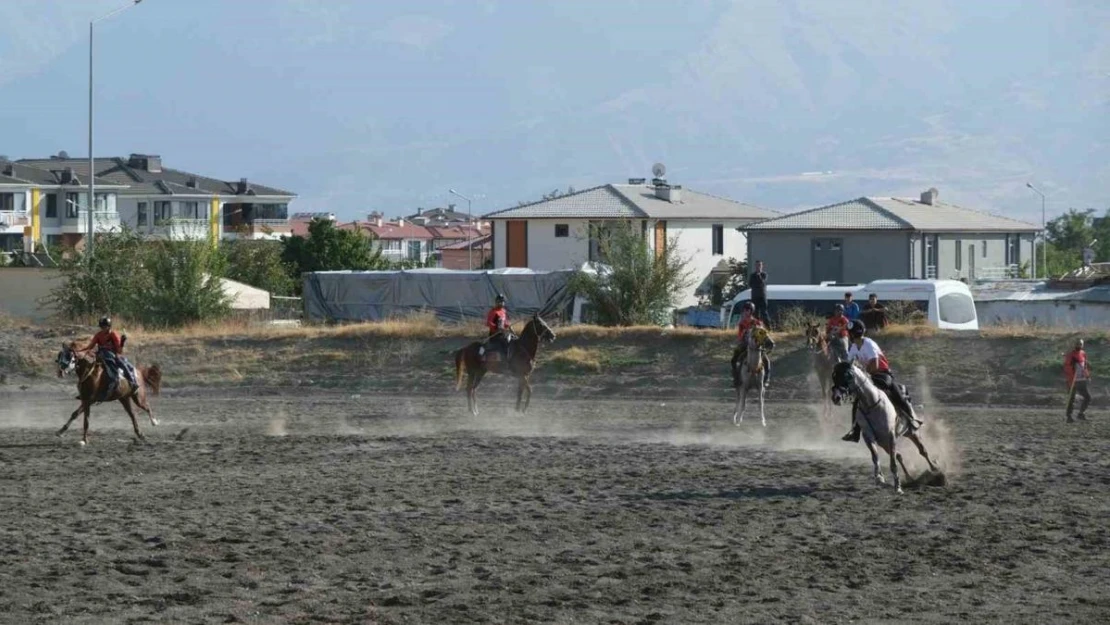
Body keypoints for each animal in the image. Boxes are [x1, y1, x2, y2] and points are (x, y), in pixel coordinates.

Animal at [830, 361, 941, 495]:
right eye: (834, 376)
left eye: (847, 375)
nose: (836, 397)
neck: (871, 403)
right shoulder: (869, 437)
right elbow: (875, 457)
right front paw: (879, 478)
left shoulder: (890, 435)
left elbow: (893, 464)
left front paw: (898, 488)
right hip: (883, 443)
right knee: (899, 455)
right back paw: (909, 478)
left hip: (911, 432)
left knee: (922, 451)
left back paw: (935, 469)